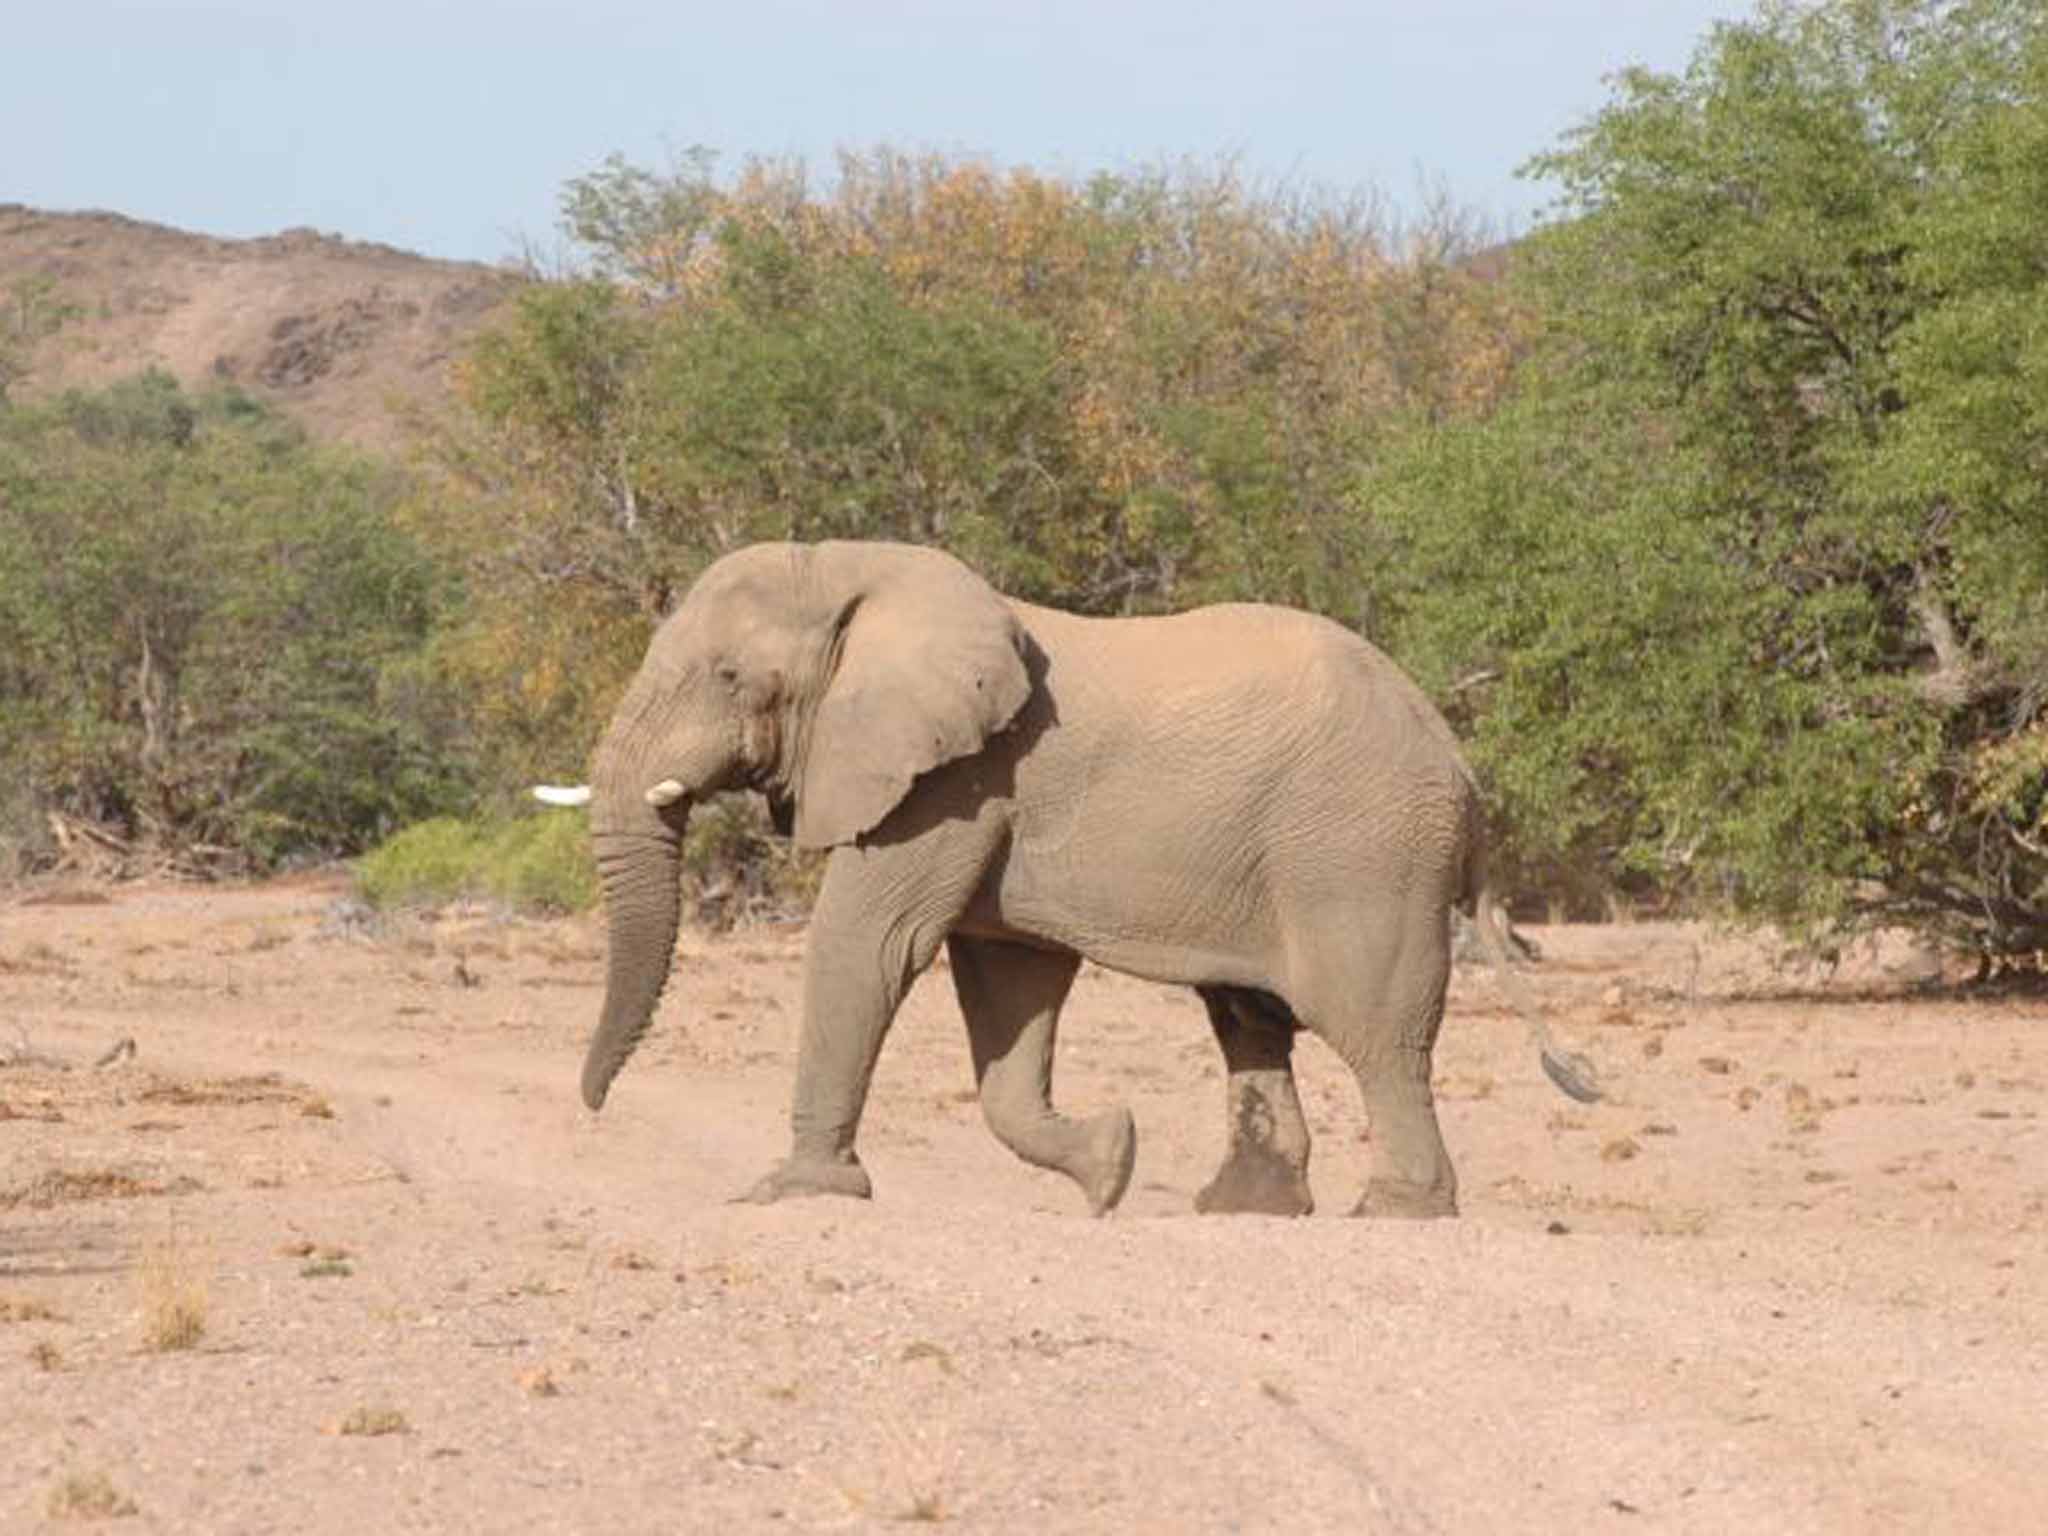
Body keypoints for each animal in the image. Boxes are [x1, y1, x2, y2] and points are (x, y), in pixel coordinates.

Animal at [577, 540, 1597, 1228]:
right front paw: (1110, 1162)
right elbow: (1007, 984)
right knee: (1250, 1019)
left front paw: (793, 1194)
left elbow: (869, 945)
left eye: (730, 676)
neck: (858, 574)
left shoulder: (953, 779)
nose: (590, 1110)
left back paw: (1394, 1211)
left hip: (1364, 852)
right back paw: (1240, 1208)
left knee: (1376, 1032)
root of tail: (1462, 772)